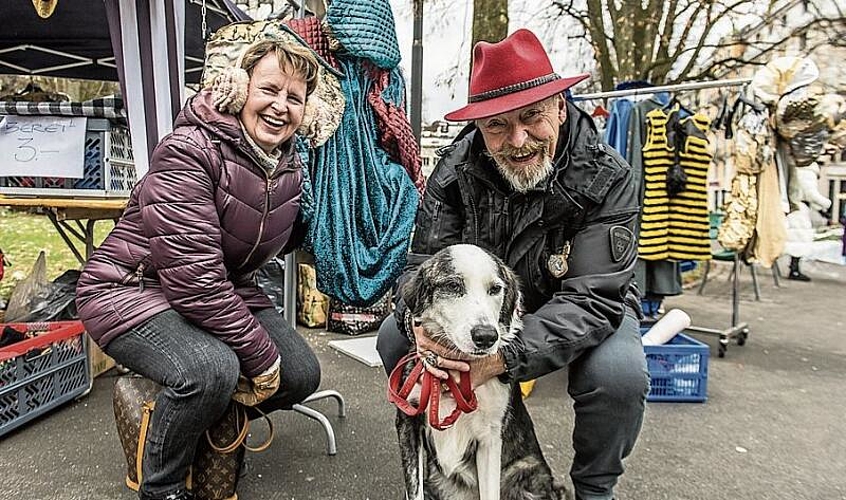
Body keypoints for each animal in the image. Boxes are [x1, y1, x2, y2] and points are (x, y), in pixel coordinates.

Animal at [400, 244, 568, 500]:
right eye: (453, 286)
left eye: (495, 289)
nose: (486, 336)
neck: (455, 377)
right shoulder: (408, 423)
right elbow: (414, 489)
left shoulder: (490, 439)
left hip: (527, 472)